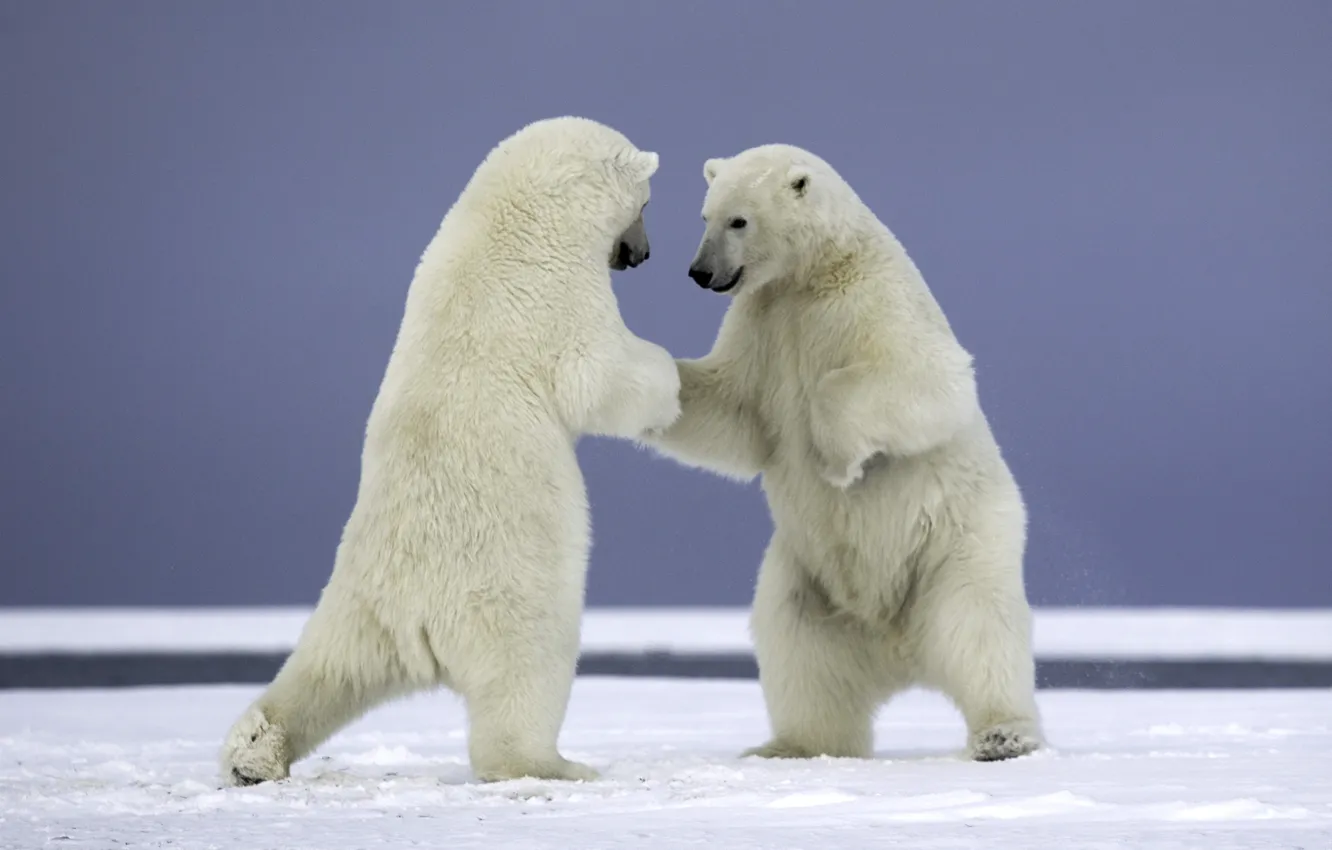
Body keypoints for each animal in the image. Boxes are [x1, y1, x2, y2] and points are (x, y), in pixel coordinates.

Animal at [219, 116, 681, 787]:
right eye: (645, 205)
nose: (642, 254)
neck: (512, 217)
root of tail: (414, 616)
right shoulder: (556, 292)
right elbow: (597, 374)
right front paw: (671, 378)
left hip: (355, 603)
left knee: (324, 670)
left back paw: (254, 751)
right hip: (507, 589)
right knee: (528, 673)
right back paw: (553, 763)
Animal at [642, 144, 1044, 763]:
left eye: (739, 220)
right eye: (704, 215)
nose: (700, 273)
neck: (814, 272)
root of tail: (898, 647)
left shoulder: (873, 301)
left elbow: (930, 381)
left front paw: (836, 460)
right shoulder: (763, 321)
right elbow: (732, 410)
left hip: (957, 542)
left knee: (978, 626)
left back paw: (1003, 735)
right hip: (806, 579)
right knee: (797, 649)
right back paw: (792, 744)